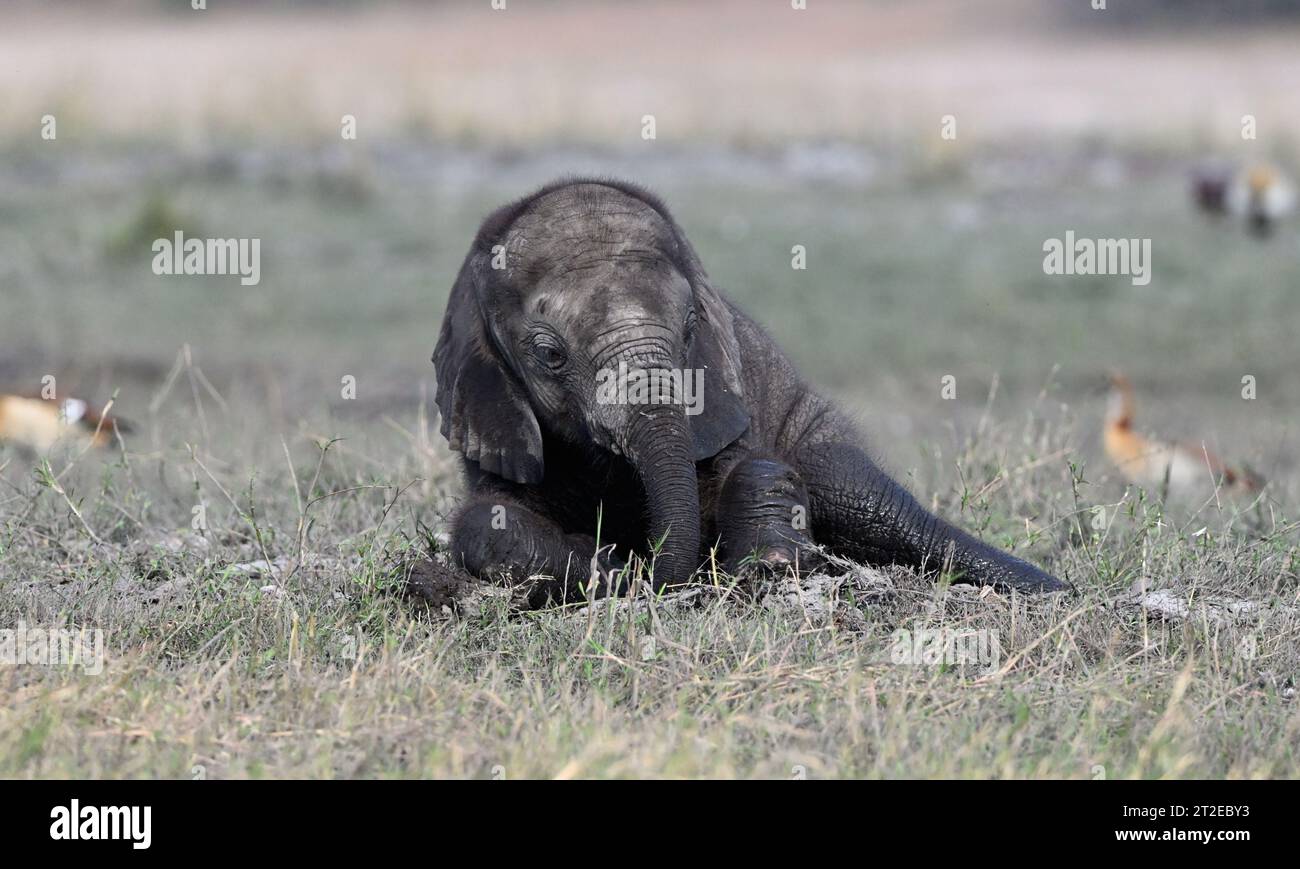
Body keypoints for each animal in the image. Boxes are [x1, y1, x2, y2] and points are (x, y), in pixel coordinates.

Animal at [436, 176, 1066, 603]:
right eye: (549, 355)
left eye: (690, 328)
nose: (645, 567)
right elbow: (488, 521)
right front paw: (610, 569)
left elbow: (751, 466)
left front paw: (767, 566)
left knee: (877, 506)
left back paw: (1053, 593)